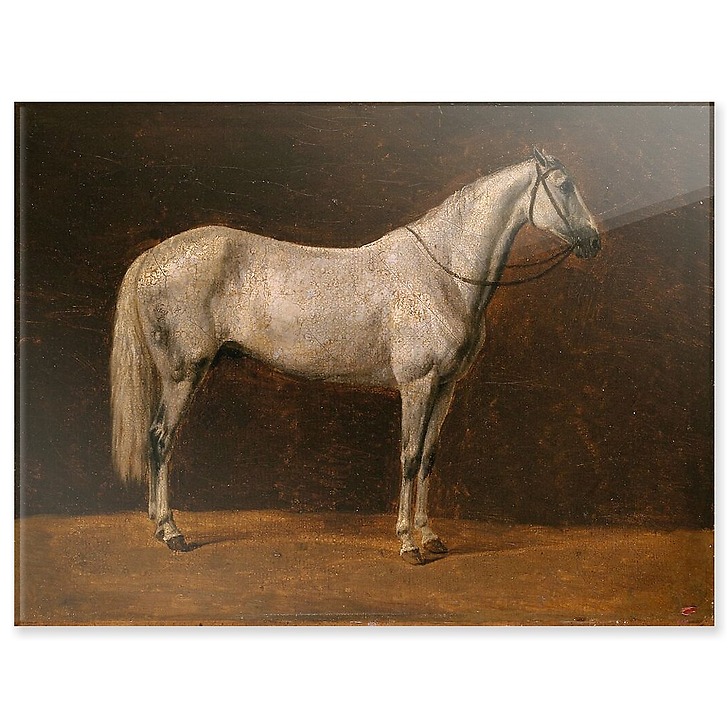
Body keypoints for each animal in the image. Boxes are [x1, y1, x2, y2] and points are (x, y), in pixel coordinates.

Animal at [110, 148, 601, 564]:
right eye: (564, 185)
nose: (594, 241)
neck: (442, 275)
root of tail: (152, 256)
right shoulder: (418, 383)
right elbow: (408, 455)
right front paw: (407, 543)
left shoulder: (445, 386)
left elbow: (429, 456)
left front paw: (430, 536)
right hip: (182, 374)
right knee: (160, 439)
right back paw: (172, 532)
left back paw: (159, 525)